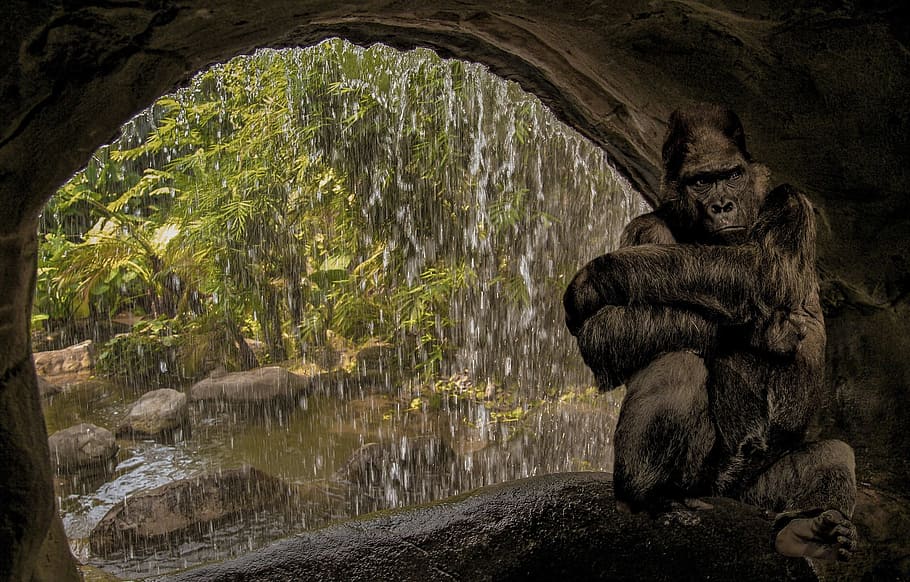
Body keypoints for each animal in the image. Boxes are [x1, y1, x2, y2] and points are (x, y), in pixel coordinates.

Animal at [564, 104, 857, 561]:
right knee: (676, 362)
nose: (723, 205)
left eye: (731, 175)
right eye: (701, 182)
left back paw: (808, 529)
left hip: (751, 496)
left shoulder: (791, 202)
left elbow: (762, 268)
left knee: (832, 453)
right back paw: (647, 495)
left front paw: (596, 277)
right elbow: (610, 329)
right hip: (702, 485)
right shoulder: (645, 229)